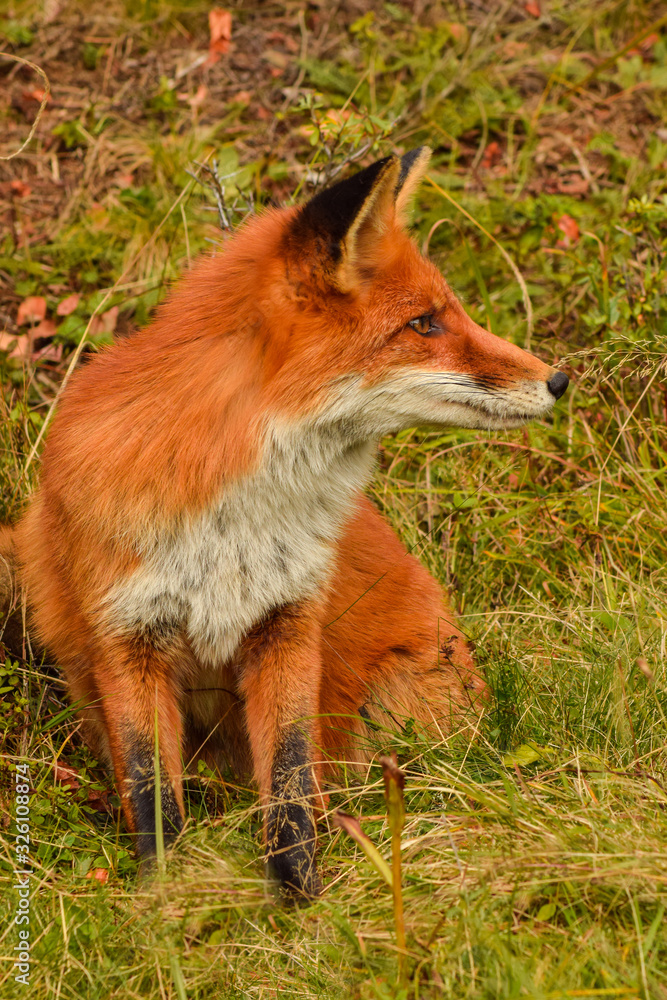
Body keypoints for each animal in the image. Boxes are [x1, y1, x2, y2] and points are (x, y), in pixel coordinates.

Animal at [0, 147, 568, 897]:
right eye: (424, 323)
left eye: (450, 313)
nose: (558, 379)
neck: (232, 517)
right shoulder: (127, 636)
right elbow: (153, 794)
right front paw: (164, 897)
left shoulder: (288, 622)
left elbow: (292, 776)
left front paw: (298, 895)